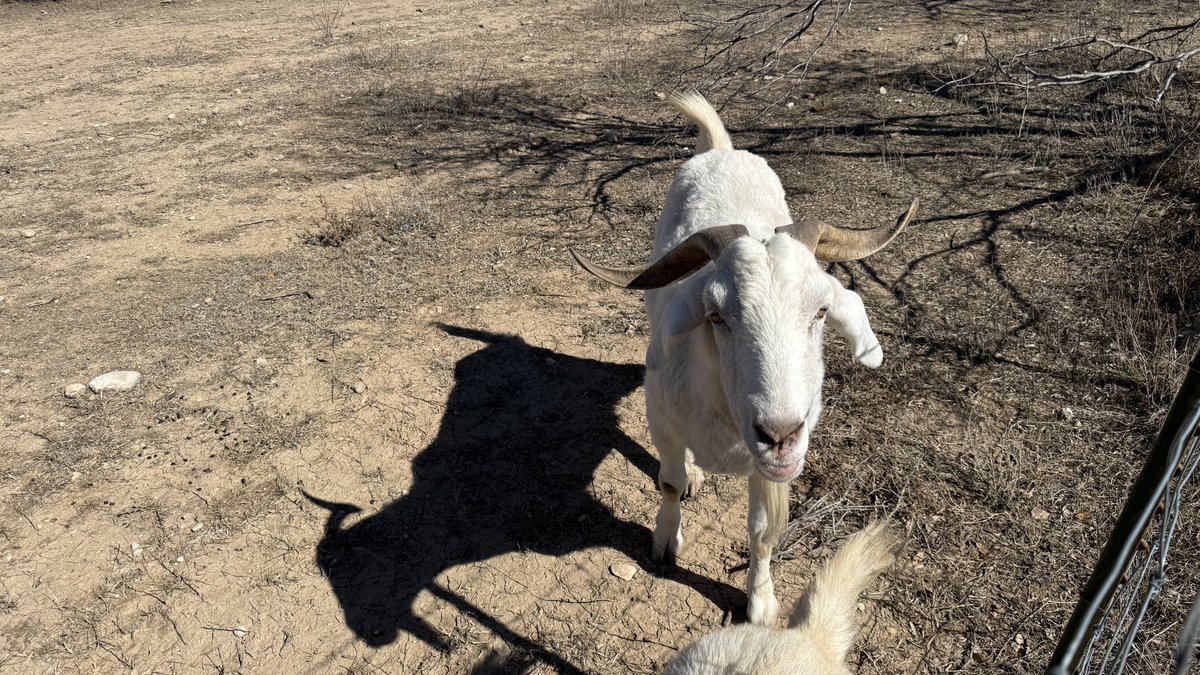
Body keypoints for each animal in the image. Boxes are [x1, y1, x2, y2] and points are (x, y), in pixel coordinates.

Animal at [571, 92, 917, 624]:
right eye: (716, 315)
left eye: (821, 311)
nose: (779, 435)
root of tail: (722, 150)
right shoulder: (661, 417)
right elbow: (668, 482)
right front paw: (665, 541)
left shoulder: (770, 473)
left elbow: (762, 530)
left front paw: (760, 603)